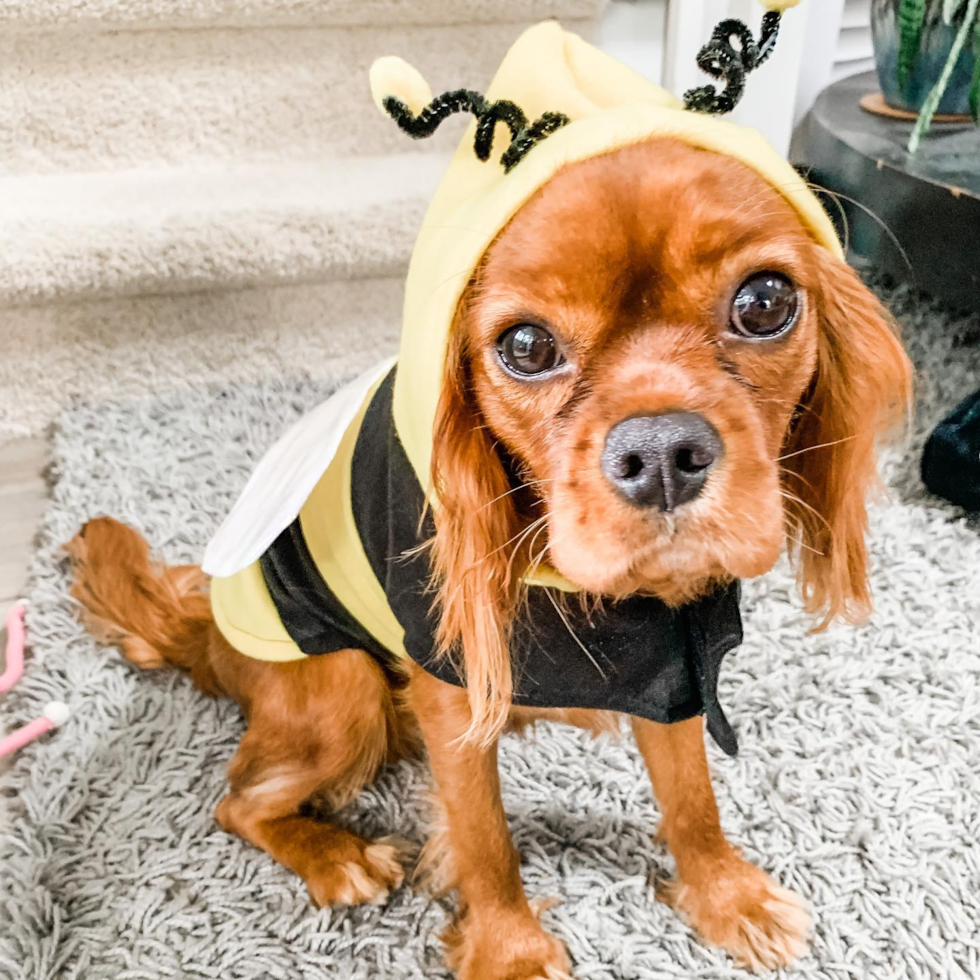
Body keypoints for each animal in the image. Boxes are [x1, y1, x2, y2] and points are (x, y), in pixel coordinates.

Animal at [67, 140, 912, 980]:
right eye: (527, 347)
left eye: (765, 303)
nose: (662, 454)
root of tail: (204, 630)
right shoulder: (454, 702)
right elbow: (485, 841)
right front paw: (510, 951)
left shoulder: (673, 664)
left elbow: (693, 799)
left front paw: (728, 896)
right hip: (341, 691)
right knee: (237, 801)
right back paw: (335, 856)